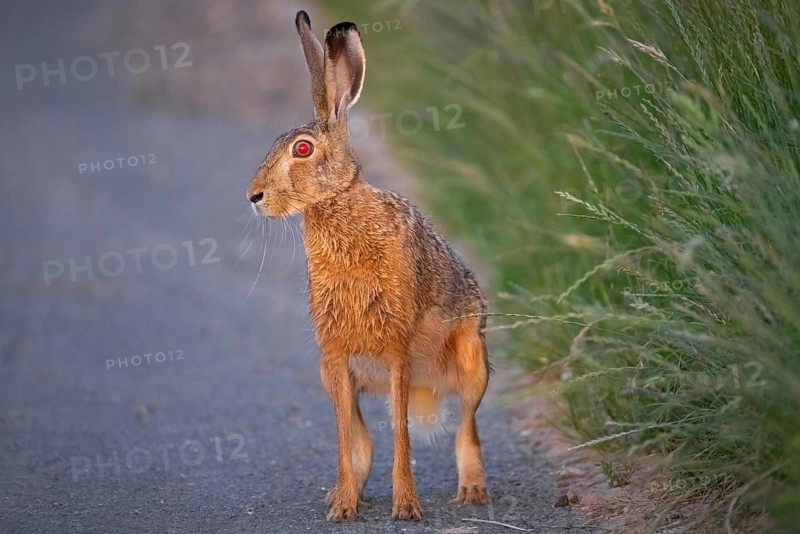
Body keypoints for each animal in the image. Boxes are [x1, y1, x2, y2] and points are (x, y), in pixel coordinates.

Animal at [246, 10, 491, 522]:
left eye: (301, 150)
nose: (253, 197)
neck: (337, 205)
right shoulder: (336, 355)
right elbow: (347, 439)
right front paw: (343, 509)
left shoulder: (397, 349)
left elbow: (401, 435)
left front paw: (407, 509)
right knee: (363, 437)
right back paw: (347, 494)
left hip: (472, 358)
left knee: (467, 423)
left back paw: (473, 492)